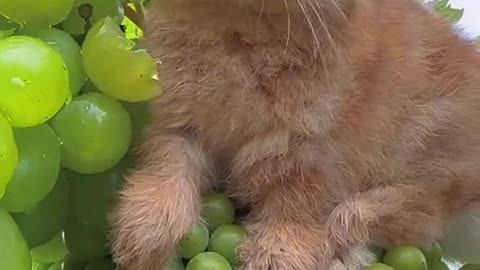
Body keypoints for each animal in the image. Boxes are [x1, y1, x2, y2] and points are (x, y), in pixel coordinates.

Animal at [109, 0, 480, 268]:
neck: (243, 27)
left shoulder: (310, 154)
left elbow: (296, 209)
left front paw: (274, 258)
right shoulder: (178, 125)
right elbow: (168, 167)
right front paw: (141, 242)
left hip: (433, 144)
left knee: (409, 212)